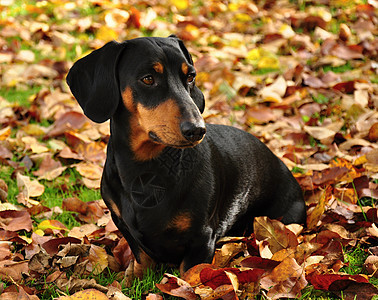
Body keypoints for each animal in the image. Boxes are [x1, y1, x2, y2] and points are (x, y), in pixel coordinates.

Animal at [66, 35, 306, 276]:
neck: (146, 172)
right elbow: (142, 259)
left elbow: (190, 277)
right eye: (148, 79)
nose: (197, 130)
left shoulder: (201, 239)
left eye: (190, 76)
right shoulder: (125, 226)